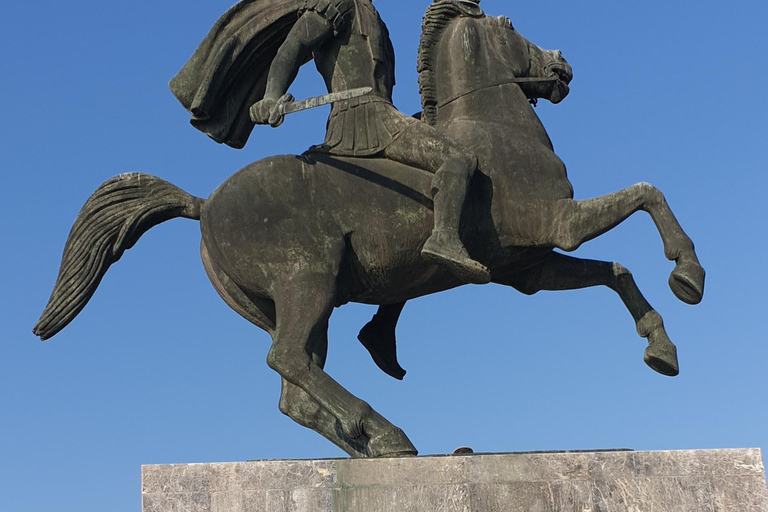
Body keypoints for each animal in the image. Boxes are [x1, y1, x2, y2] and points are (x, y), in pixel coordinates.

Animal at [31, 5, 704, 460]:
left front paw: (662, 350)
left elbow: (617, 272)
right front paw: (689, 275)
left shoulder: (529, 268)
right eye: (513, 26)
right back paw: (385, 431)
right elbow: (647, 195)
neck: (496, 126)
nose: (562, 67)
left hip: (301, 302)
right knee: (287, 360)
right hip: (307, 280)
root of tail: (205, 203)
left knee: (296, 387)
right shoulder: (555, 226)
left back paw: (371, 440)